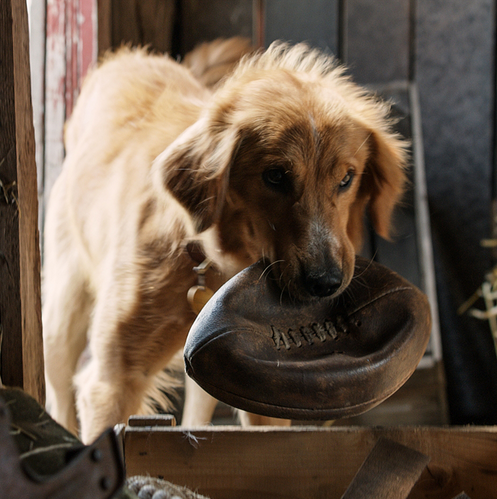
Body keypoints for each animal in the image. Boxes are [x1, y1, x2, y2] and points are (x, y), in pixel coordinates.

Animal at [42, 40, 406, 446]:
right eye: (275, 176)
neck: (210, 260)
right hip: (62, 318)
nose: (326, 282)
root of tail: (125, 57)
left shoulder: (260, 382)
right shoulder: (113, 381)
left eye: (347, 179)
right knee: (57, 396)